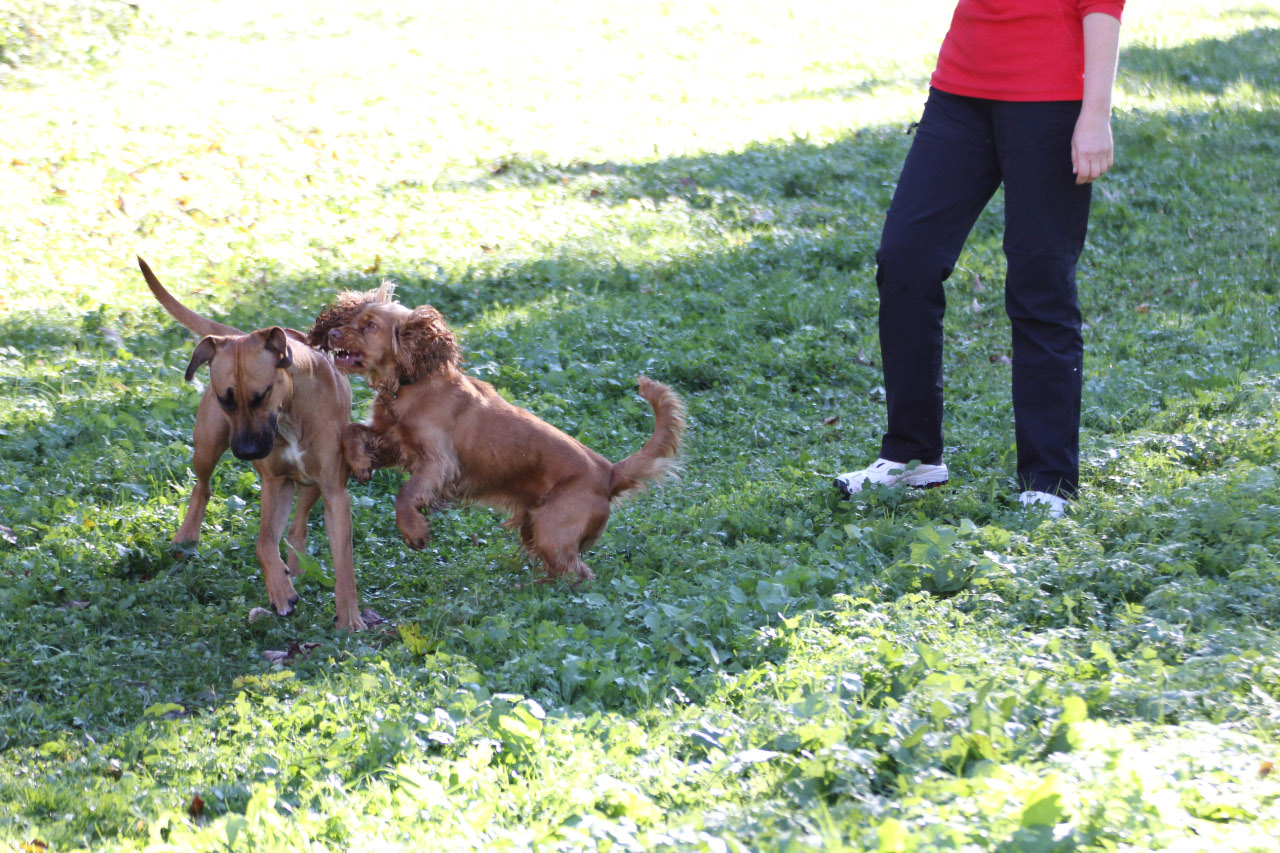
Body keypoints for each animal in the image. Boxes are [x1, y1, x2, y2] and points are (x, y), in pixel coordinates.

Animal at [138, 257, 366, 631]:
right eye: (225, 399)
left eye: (262, 395)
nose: (246, 452)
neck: (290, 413)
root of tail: (235, 334)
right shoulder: (274, 484)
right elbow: (263, 542)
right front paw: (281, 592)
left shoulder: (334, 491)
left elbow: (344, 564)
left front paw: (349, 618)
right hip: (207, 445)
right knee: (202, 488)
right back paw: (186, 539)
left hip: (313, 485)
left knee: (298, 525)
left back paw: (296, 568)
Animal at [307, 284, 685, 584]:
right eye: (349, 319)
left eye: (370, 326)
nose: (333, 335)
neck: (410, 385)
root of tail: (609, 472)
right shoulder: (395, 442)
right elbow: (353, 431)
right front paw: (360, 463)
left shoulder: (438, 462)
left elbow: (405, 493)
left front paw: (414, 532)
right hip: (536, 524)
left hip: (552, 528)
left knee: (579, 574)